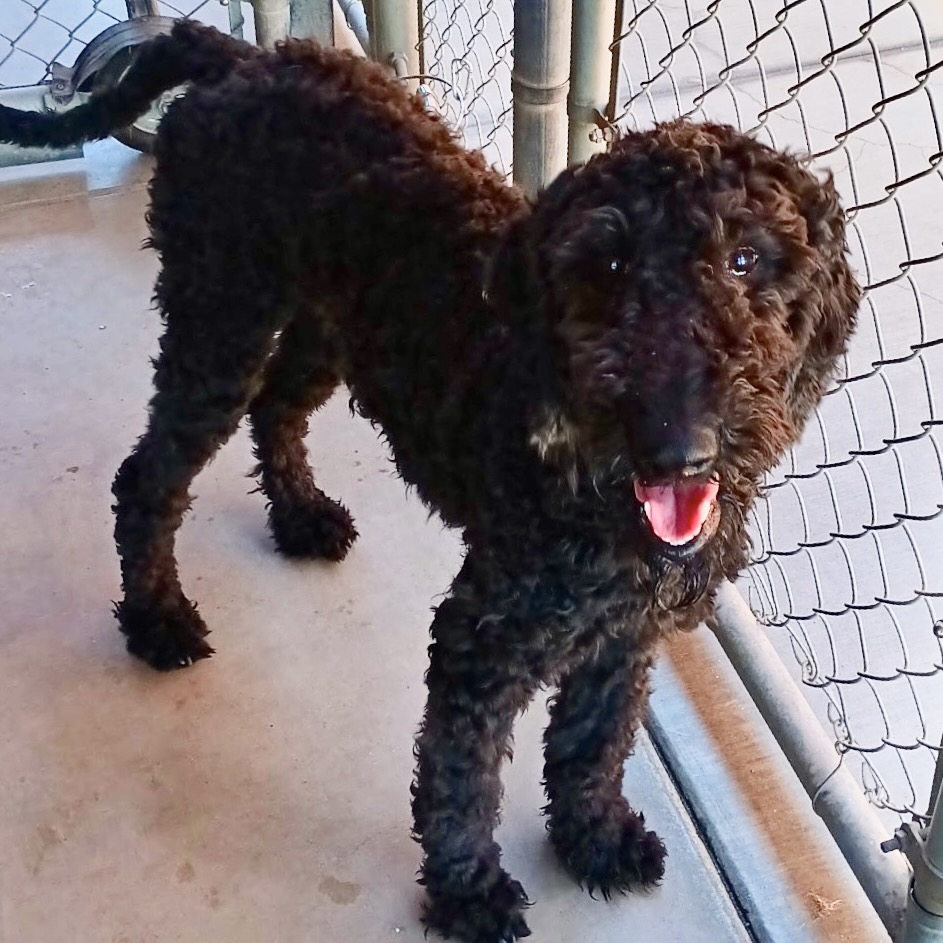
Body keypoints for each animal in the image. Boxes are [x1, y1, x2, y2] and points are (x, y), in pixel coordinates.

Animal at [0, 21, 859, 942]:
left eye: (746, 258)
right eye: (605, 264)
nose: (675, 446)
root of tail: (247, 57)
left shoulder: (627, 633)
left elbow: (592, 742)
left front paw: (592, 837)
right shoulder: (481, 636)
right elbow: (461, 777)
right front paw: (467, 891)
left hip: (325, 327)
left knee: (277, 408)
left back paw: (299, 517)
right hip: (219, 318)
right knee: (149, 477)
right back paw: (156, 618)